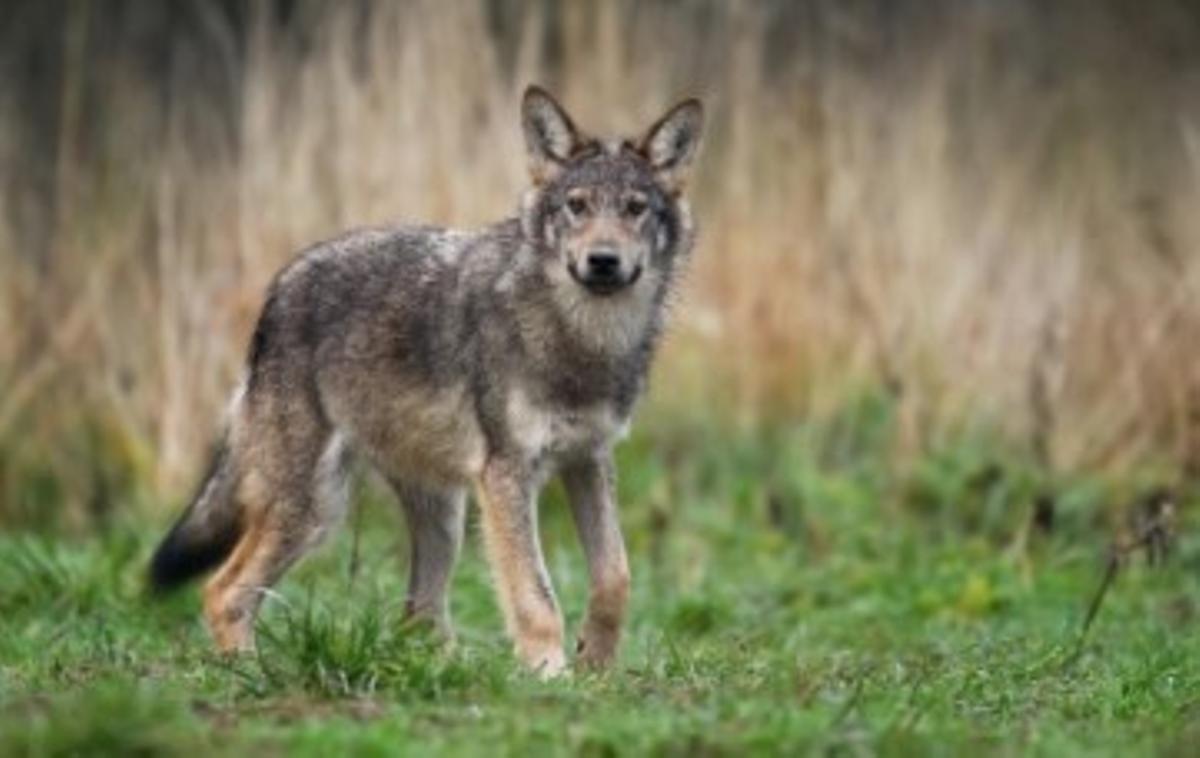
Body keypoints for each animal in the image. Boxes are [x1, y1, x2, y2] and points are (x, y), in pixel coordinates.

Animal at [149, 86, 704, 675]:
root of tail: (280, 287)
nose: (602, 261)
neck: (581, 340)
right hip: (315, 509)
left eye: (635, 209)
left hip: (443, 517)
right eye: (576, 206)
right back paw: (251, 672)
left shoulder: (588, 459)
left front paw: (595, 664)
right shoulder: (507, 474)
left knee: (419, 615)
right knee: (224, 591)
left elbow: (616, 577)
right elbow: (535, 595)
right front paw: (550, 673)